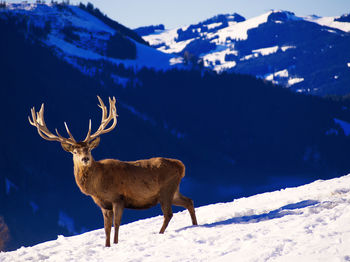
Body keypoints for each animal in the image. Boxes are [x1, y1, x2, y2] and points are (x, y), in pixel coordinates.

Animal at [28, 95, 197, 246]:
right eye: (75, 152)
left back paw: (160, 233)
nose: (85, 159)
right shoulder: (103, 204)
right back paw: (195, 225)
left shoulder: (118, 198)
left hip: (166, 190)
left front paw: (115, 244)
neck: (97, 186)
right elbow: (106, 228)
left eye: (89, 149)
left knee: (168, 214)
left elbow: (116, 224)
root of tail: (181, 166)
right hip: (174, 191)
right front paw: (107, 245)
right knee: (189, 201)